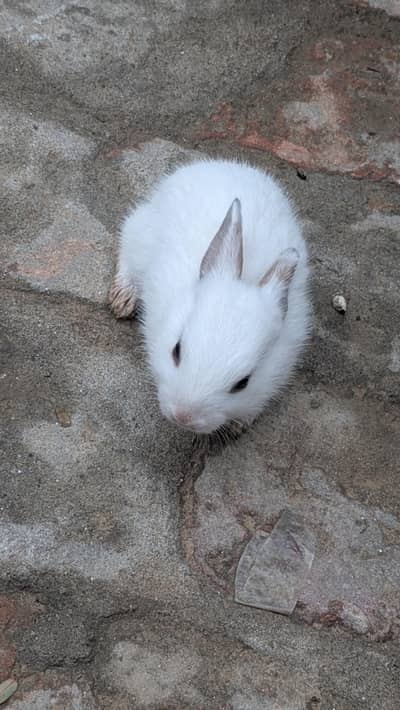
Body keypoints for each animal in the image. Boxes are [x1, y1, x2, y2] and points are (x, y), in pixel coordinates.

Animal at [109, 158, 311, 435]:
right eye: (176, 350)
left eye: (243, 383)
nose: (184, 416)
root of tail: (223, 164)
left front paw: (237, 426)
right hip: (138, 235)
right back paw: (123, 298)